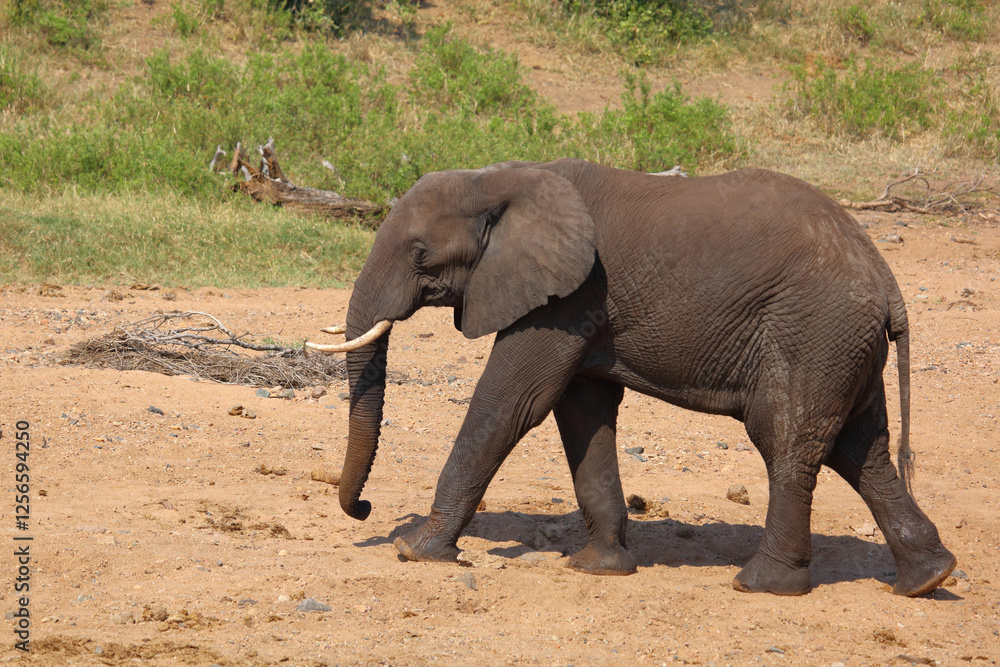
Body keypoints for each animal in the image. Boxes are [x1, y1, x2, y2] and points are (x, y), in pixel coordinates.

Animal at [310, 158, 956, 597]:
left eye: (420, 254)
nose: (364, 509)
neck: (501, 178)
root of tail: (886, 278)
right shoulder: (581, 308)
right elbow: (582, 410)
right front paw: (598, 568)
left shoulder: (567, 296)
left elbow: (513, 402)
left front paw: (416, 552)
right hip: (843, 344)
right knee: (861, 449)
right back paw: (928, 579)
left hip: (814, 331)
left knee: (789, 439)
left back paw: (761, 585)